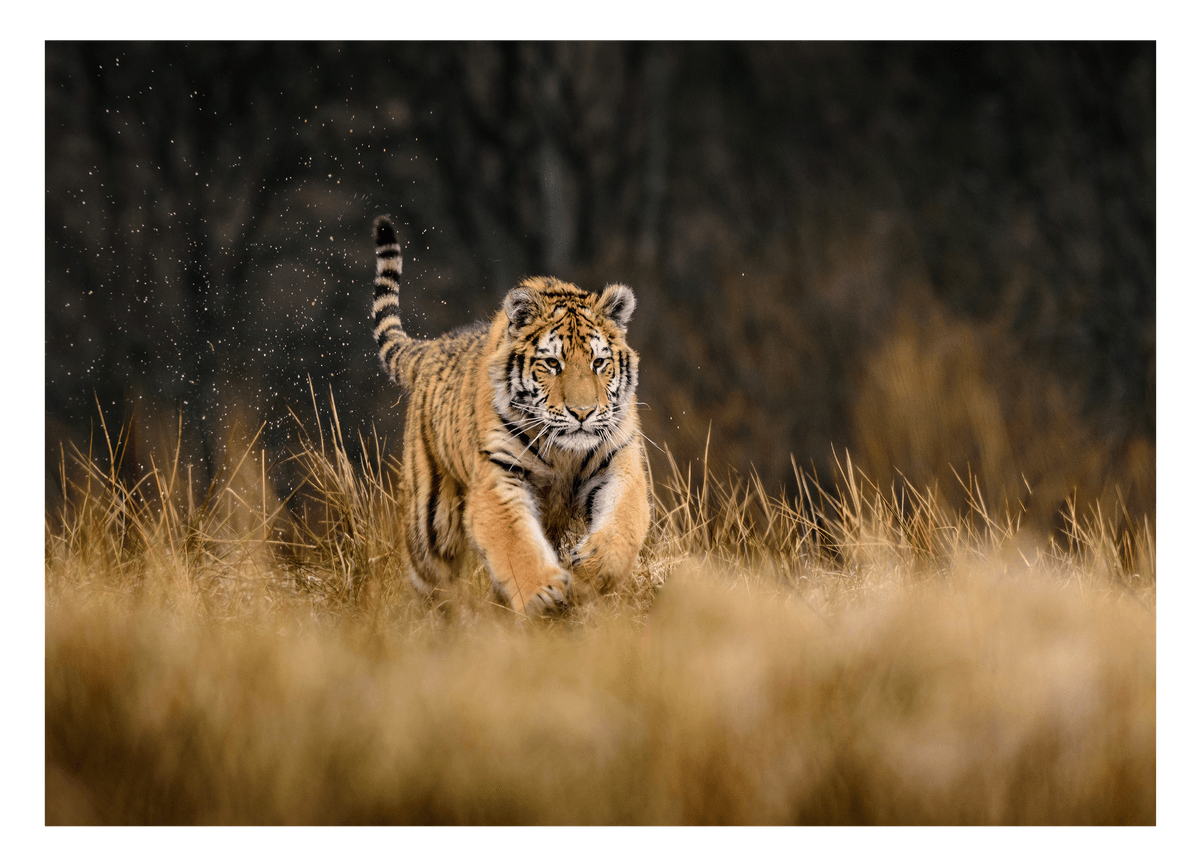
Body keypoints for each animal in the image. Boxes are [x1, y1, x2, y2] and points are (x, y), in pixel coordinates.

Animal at [370, 215, 650, 616]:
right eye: (553, 364)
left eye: (599, 363)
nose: (582, 412)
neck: (564, 452)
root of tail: (434, 347)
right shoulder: (499, 475)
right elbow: (515, 542)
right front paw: (543, 593)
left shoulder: (618, 463)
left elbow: (624, 522)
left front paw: (591, 570)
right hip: (432, 522)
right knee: (431, 578)